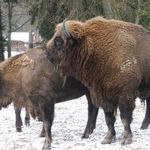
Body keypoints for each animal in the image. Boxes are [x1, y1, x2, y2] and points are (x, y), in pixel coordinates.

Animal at [46, 16, 150, 145]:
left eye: (59, 41)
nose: (46, 53)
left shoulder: (125, 94)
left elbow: (125, 118)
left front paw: (127, 139)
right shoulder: (102, 96)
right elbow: (109, 118)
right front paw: (107, 139)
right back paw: (144, 126)